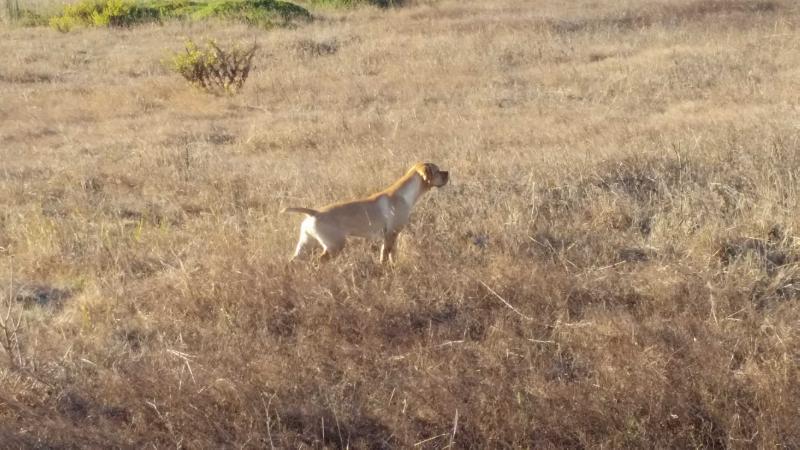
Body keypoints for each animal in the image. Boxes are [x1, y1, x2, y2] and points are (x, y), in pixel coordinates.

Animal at [284, 162, 450, 262]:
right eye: (437, 170)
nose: (448, 172)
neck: (404, 194)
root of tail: (314, 213)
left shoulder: (391, 236)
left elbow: (390, 256)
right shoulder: (390, 234)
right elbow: (385, 258)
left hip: (305, 245)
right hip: (334, 246)